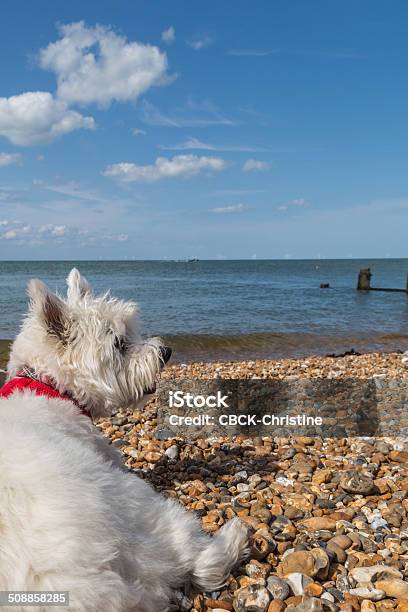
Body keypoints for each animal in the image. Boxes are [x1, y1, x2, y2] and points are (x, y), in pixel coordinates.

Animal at [0, 270, 249, 612]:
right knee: (198, 557)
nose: (166, 351)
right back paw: (235, 535)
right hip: (141, 508)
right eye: (119, 343)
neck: (48, 385)